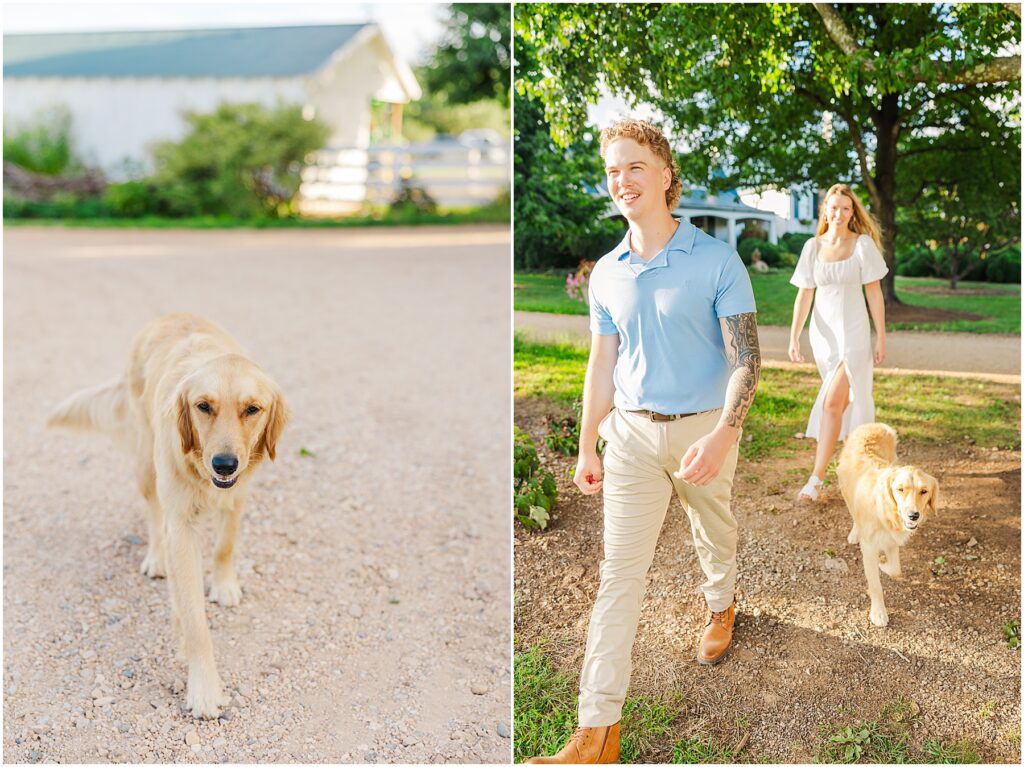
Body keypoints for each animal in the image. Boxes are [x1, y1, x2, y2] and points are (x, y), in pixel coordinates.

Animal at [47, 313, 288, 716]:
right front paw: (204, 688)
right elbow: (194, 618)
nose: (225, 464)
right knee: (153, 515)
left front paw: (224, 583)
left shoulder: (237, 496)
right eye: (203, 406)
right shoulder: (182, 526)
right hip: (147, 464)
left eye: (252, 409)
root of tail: (168, 315)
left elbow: (225, 545)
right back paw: (156, 558)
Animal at [839, 421, 937, 626]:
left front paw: (882, 564)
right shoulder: (869, 546)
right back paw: (854, 533)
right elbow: (876, 585)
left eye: (924, 491)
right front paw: (878, 613)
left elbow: (895, 569)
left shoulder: (891, 540)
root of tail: (872, 424)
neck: (885, 510)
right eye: (900, 489)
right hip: (845, 490)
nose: (914, 515)